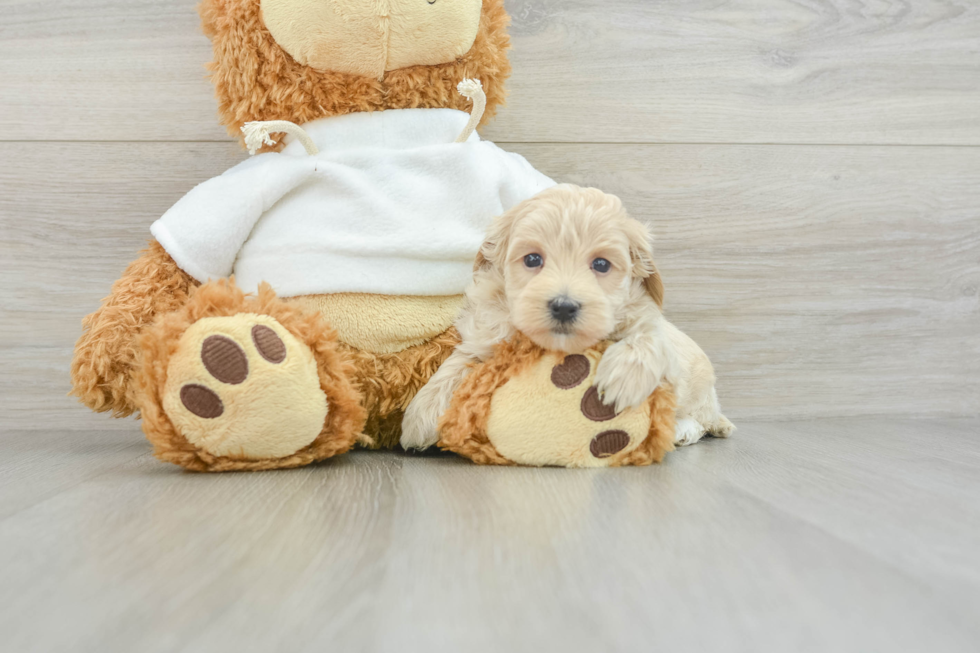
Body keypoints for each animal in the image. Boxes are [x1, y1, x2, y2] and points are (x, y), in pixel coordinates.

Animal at [400, 183, 736, 448]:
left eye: (601, 264)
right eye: (532, 259)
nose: (563, 306)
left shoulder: (653, 327)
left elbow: (647, 337)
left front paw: (622, 381)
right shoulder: (487, 331)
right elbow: (460, 360)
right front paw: (420, 415)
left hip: (702, 393)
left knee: (702, 420)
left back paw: (682, 430)